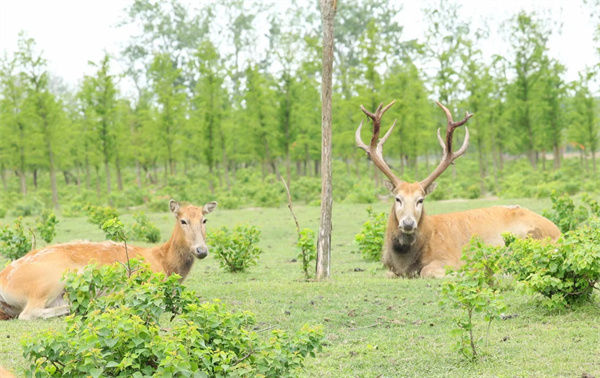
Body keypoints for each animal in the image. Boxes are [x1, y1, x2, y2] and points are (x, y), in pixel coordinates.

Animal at [0, 199, 216, 320]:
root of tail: (3, 282)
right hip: (48, 280)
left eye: (204, 220)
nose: (201, 250)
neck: (165, 263)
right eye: (183, 220)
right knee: (29, 313)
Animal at [354, 100, 560, 278]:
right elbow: (388, 273)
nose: (408, 223)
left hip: (524, 238)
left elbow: (426, 271)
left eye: (420, 200)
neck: (404, 262)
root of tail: (559, 233)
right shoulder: (390, 269)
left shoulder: (450, 258)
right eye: (398, 198)